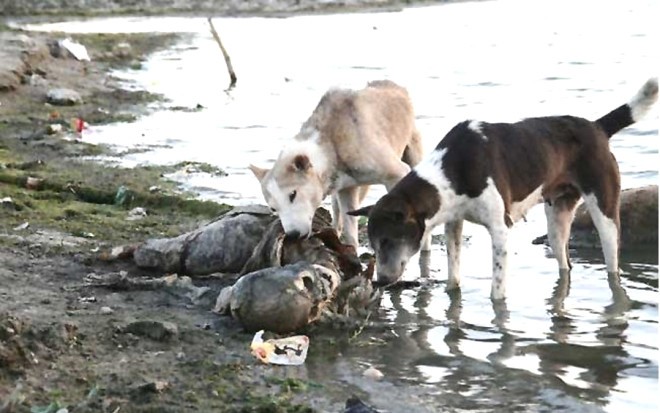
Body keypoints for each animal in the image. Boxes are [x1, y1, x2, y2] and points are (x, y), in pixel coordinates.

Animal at [250, 79, 426, 248]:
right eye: (273, 208)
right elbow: (350, 232)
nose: (292, 235)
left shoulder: (396, 174)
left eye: (293, 194)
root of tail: (396, 87)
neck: (331, 145)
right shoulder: (346, 191)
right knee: (338, 216)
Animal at [348, 77, 656, 298]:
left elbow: (496, 291)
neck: (454, 169)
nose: (381, 281)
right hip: (558, 220)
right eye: (374, 244)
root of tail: (596, 127)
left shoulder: (499, 228)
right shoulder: (454, 224)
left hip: (605, 213)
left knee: (612, 266)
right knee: (565, 264)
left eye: (387, 240)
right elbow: (453, 276)